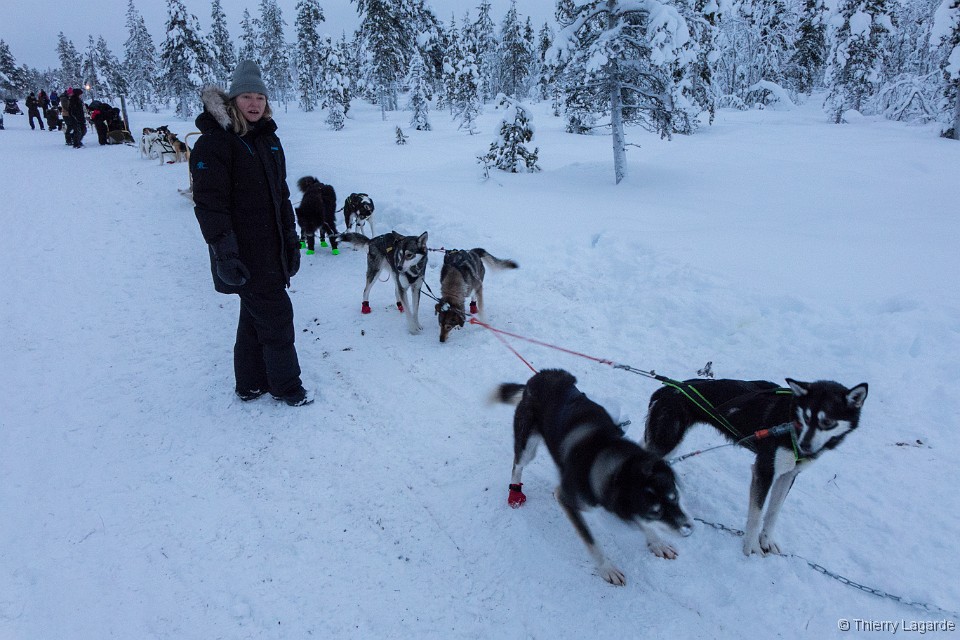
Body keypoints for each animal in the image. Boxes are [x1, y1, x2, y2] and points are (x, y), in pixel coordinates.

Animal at [496, 369, 693, 586]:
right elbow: (591, 541)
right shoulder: (569, 499)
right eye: (655, 512)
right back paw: (515, 492)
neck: (603, 454)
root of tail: (542, 375)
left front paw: (657, 542)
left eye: (675, 498)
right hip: (527, 448)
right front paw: (607, 568)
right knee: (517, 466)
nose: (688, 529)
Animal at [644, 377, 868, 557]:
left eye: (827, 421)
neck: (789, 419)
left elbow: (773, 513)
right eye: (805, 417)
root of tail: (667, 389)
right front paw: (751, 547)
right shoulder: (764, 471)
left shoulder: (788, 475)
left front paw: (767, 540)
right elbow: (756, 515)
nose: (804, 446)